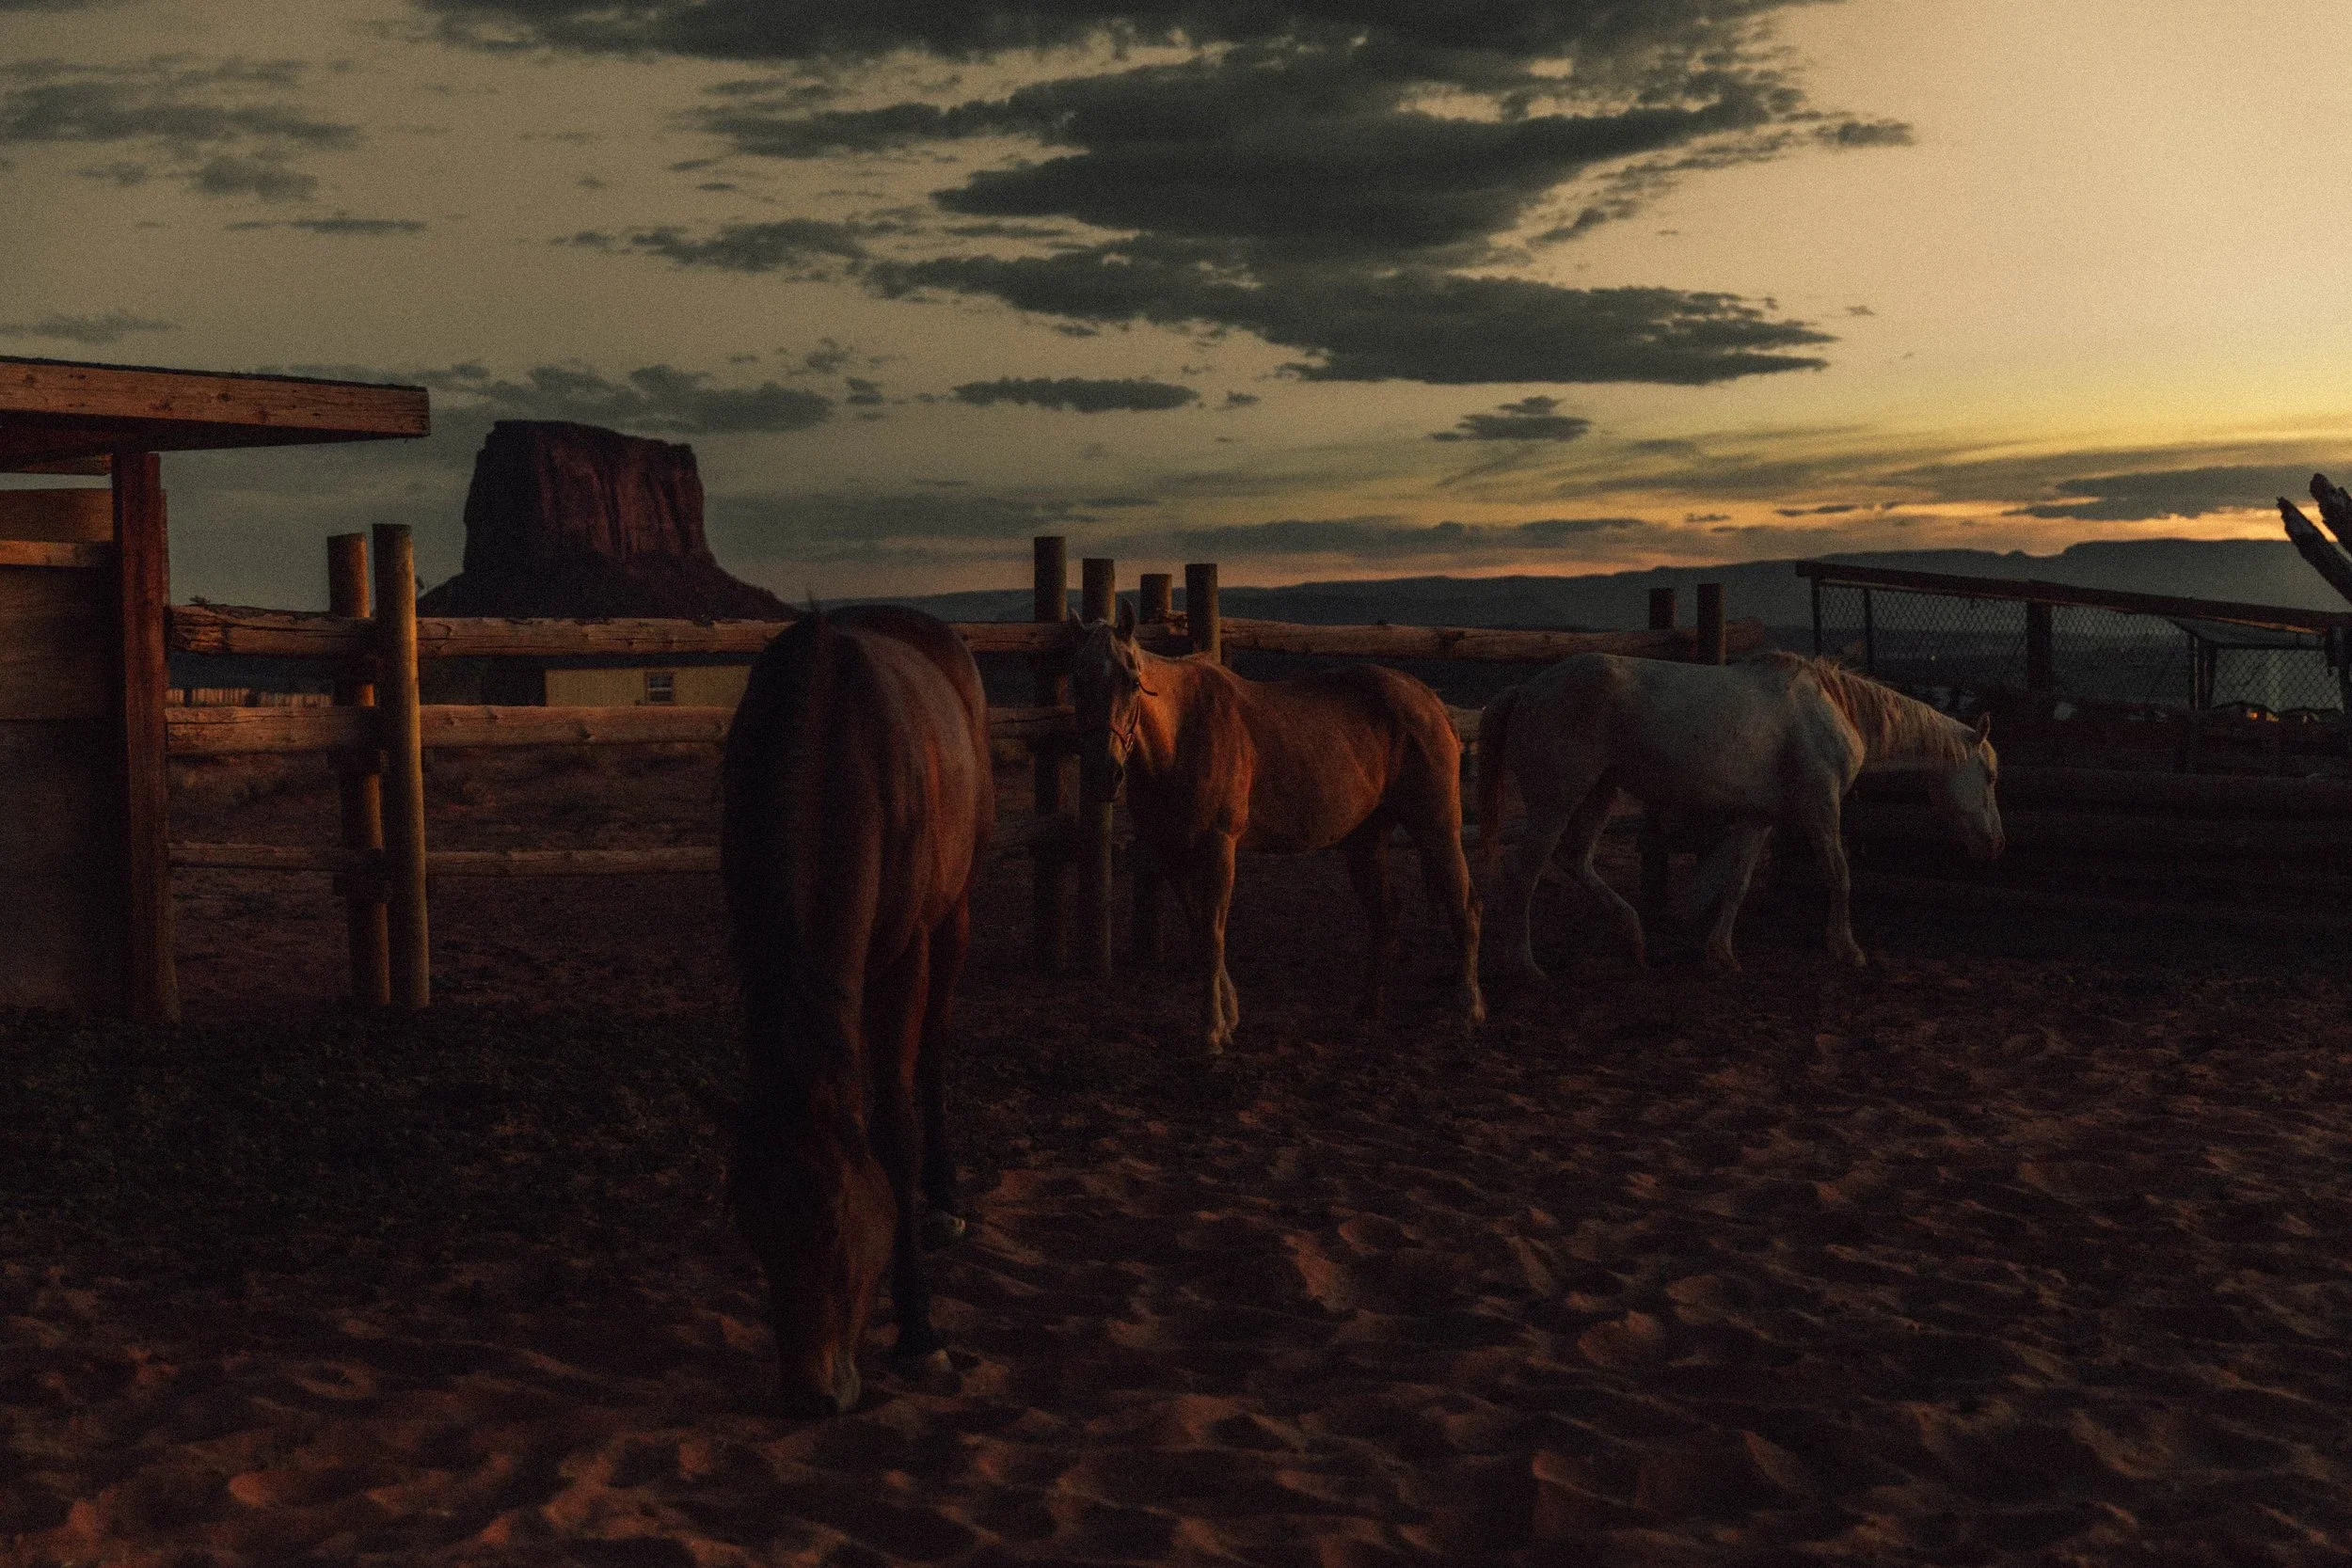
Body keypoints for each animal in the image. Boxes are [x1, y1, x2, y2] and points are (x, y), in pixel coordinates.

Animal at [720, 604, 993, 1417]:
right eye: (752, 1224)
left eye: (838, 1222)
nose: (810, 1393)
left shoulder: (906, 954)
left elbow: (895, 1124)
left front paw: (920, 1330)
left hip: (954, 917)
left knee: (931, 1052)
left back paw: (944, 1197)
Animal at [1070, 602, 1482, 1053]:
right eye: (1078, 679)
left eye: (1131, 681)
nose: (1103, 773)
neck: (1179, 736)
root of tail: (1431, 701)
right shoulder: (1172, 850)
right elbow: (1200, 931)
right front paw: (1229, 1018)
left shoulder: (1218, 846)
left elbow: (1213, 936)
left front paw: (1212, 1031)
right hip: (1366, 840)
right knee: (1386, 914)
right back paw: (1367, 1011)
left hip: (1437, 828)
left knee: (1465, 908)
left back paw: (1468, 1014)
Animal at [1477, 650, 2001, 978]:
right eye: (1991, 776)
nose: (1995, 844)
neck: (1835, 712)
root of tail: (1526, 689)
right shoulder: (1822, 807)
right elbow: (1839, 875)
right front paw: (1847, 949)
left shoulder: (1758, 817)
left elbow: (1737, 884)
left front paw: (1721, 955)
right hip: (1558, 799)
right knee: (1525, 873)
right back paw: (1526, 965)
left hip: (1602, 792)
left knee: (1574, 860)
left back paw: (1636, 939)